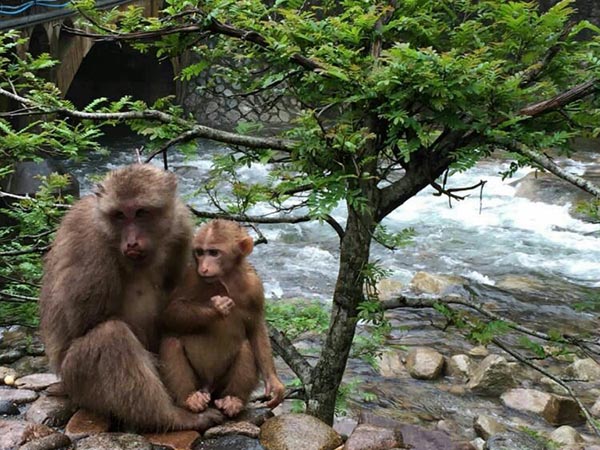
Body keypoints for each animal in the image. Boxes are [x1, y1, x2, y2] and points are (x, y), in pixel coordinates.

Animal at [39, 163, 223, 430]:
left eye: (140, 213)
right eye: (119, 215)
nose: (132, 241)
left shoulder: (181, 226)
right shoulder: (87, 238)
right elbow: (83, 323)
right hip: (75, 378)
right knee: (111, 335)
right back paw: (171, 417)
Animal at [159, 220, 286, 416]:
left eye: (213, 252)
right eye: (200, 252)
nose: (204, 267)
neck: (225, 279)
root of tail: (208, 387)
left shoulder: (255, 286)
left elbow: (256, 328)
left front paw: (274, 382)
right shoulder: (189, 275)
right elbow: (170, 312)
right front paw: (216, 308)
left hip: (220, 387)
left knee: (246, 347)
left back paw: (233, 399)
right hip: (199, 382)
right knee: (172, 341)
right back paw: (189, 397)